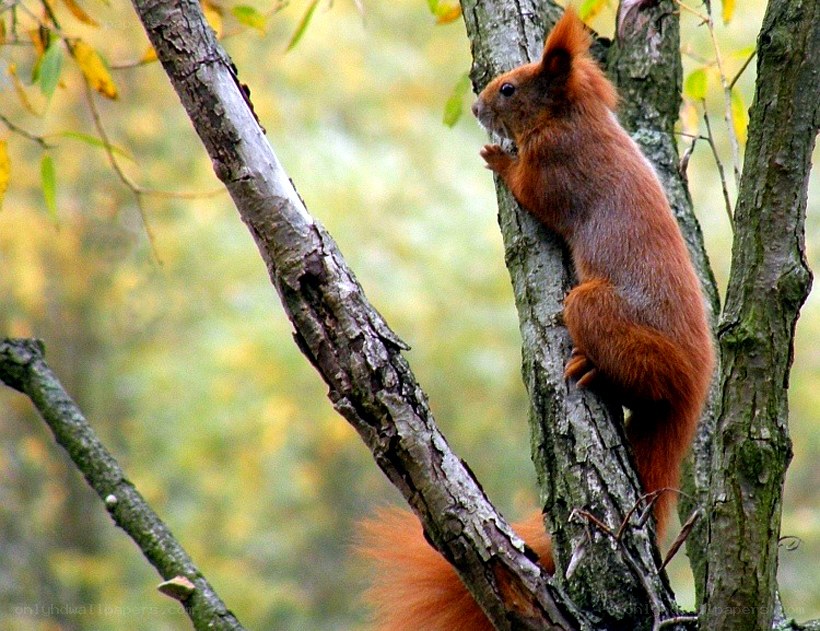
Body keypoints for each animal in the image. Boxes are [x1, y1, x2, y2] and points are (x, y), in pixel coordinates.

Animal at [359, 8, 714, 631]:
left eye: (509, 88)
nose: (477, 105)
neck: (577, 116)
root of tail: (694, 385)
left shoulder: (555, 167)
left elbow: (529, 188)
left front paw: (499, 158)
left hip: (596, 309)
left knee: (643, 380)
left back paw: (596, 372)